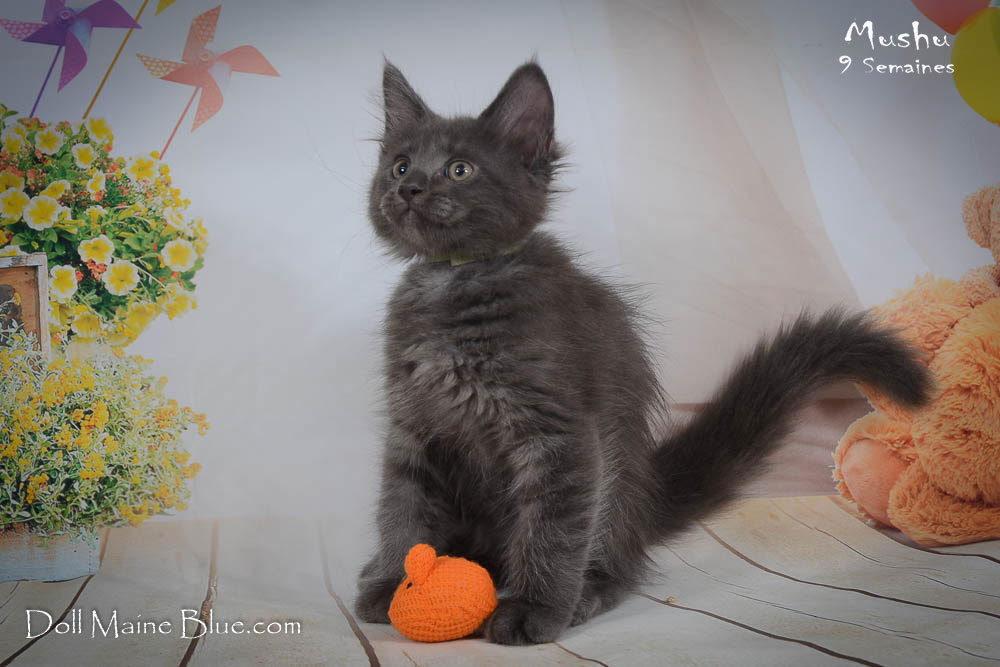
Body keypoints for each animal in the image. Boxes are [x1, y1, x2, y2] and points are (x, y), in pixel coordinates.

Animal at [354, 60, 930, 645]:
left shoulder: (558, 430)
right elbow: (401, 508)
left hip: (614, 483)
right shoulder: (412, 427)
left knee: (619, 565)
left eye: (460, 169)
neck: (452, 282)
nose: (409, 189)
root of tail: (646, 495)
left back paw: (584, 594)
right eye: (400, 165)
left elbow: (551, 528)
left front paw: (534, 608)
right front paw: (395, 581)